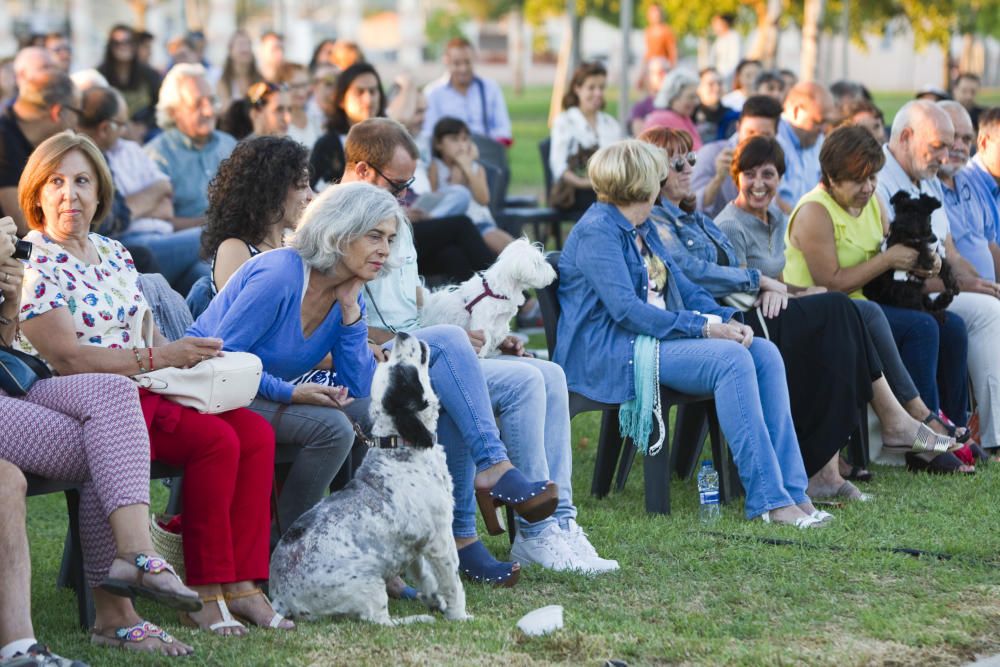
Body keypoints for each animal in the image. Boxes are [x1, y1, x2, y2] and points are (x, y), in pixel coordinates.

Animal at [266, 334, 468, 628]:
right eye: (402, 371)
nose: (401, 335)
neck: (400, 447)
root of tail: (279, 597)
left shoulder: (415, 545)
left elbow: (426, 578)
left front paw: (434, 600)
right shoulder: (440, 538)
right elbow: (452, 583)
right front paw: (460, 615)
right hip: (367, 582)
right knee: (379, 620)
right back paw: (418, 618)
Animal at [420, 237, 560, 358]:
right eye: (538, 264)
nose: (553, 274)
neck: (495, 291)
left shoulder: (501, 321)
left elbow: (498, 335)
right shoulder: (482, 320)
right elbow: (486, 337)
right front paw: (481, 354)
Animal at [860, 190, 960, 324]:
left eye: (916, 212)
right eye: (899, 211)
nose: (899, 225)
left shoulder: (935, 252)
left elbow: (944, 265)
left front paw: (953, 284)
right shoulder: (900, 245)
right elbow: (916, 245)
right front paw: (926, 260)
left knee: (927, 303)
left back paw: (945, 299)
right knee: (922, 309)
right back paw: (938, 314)